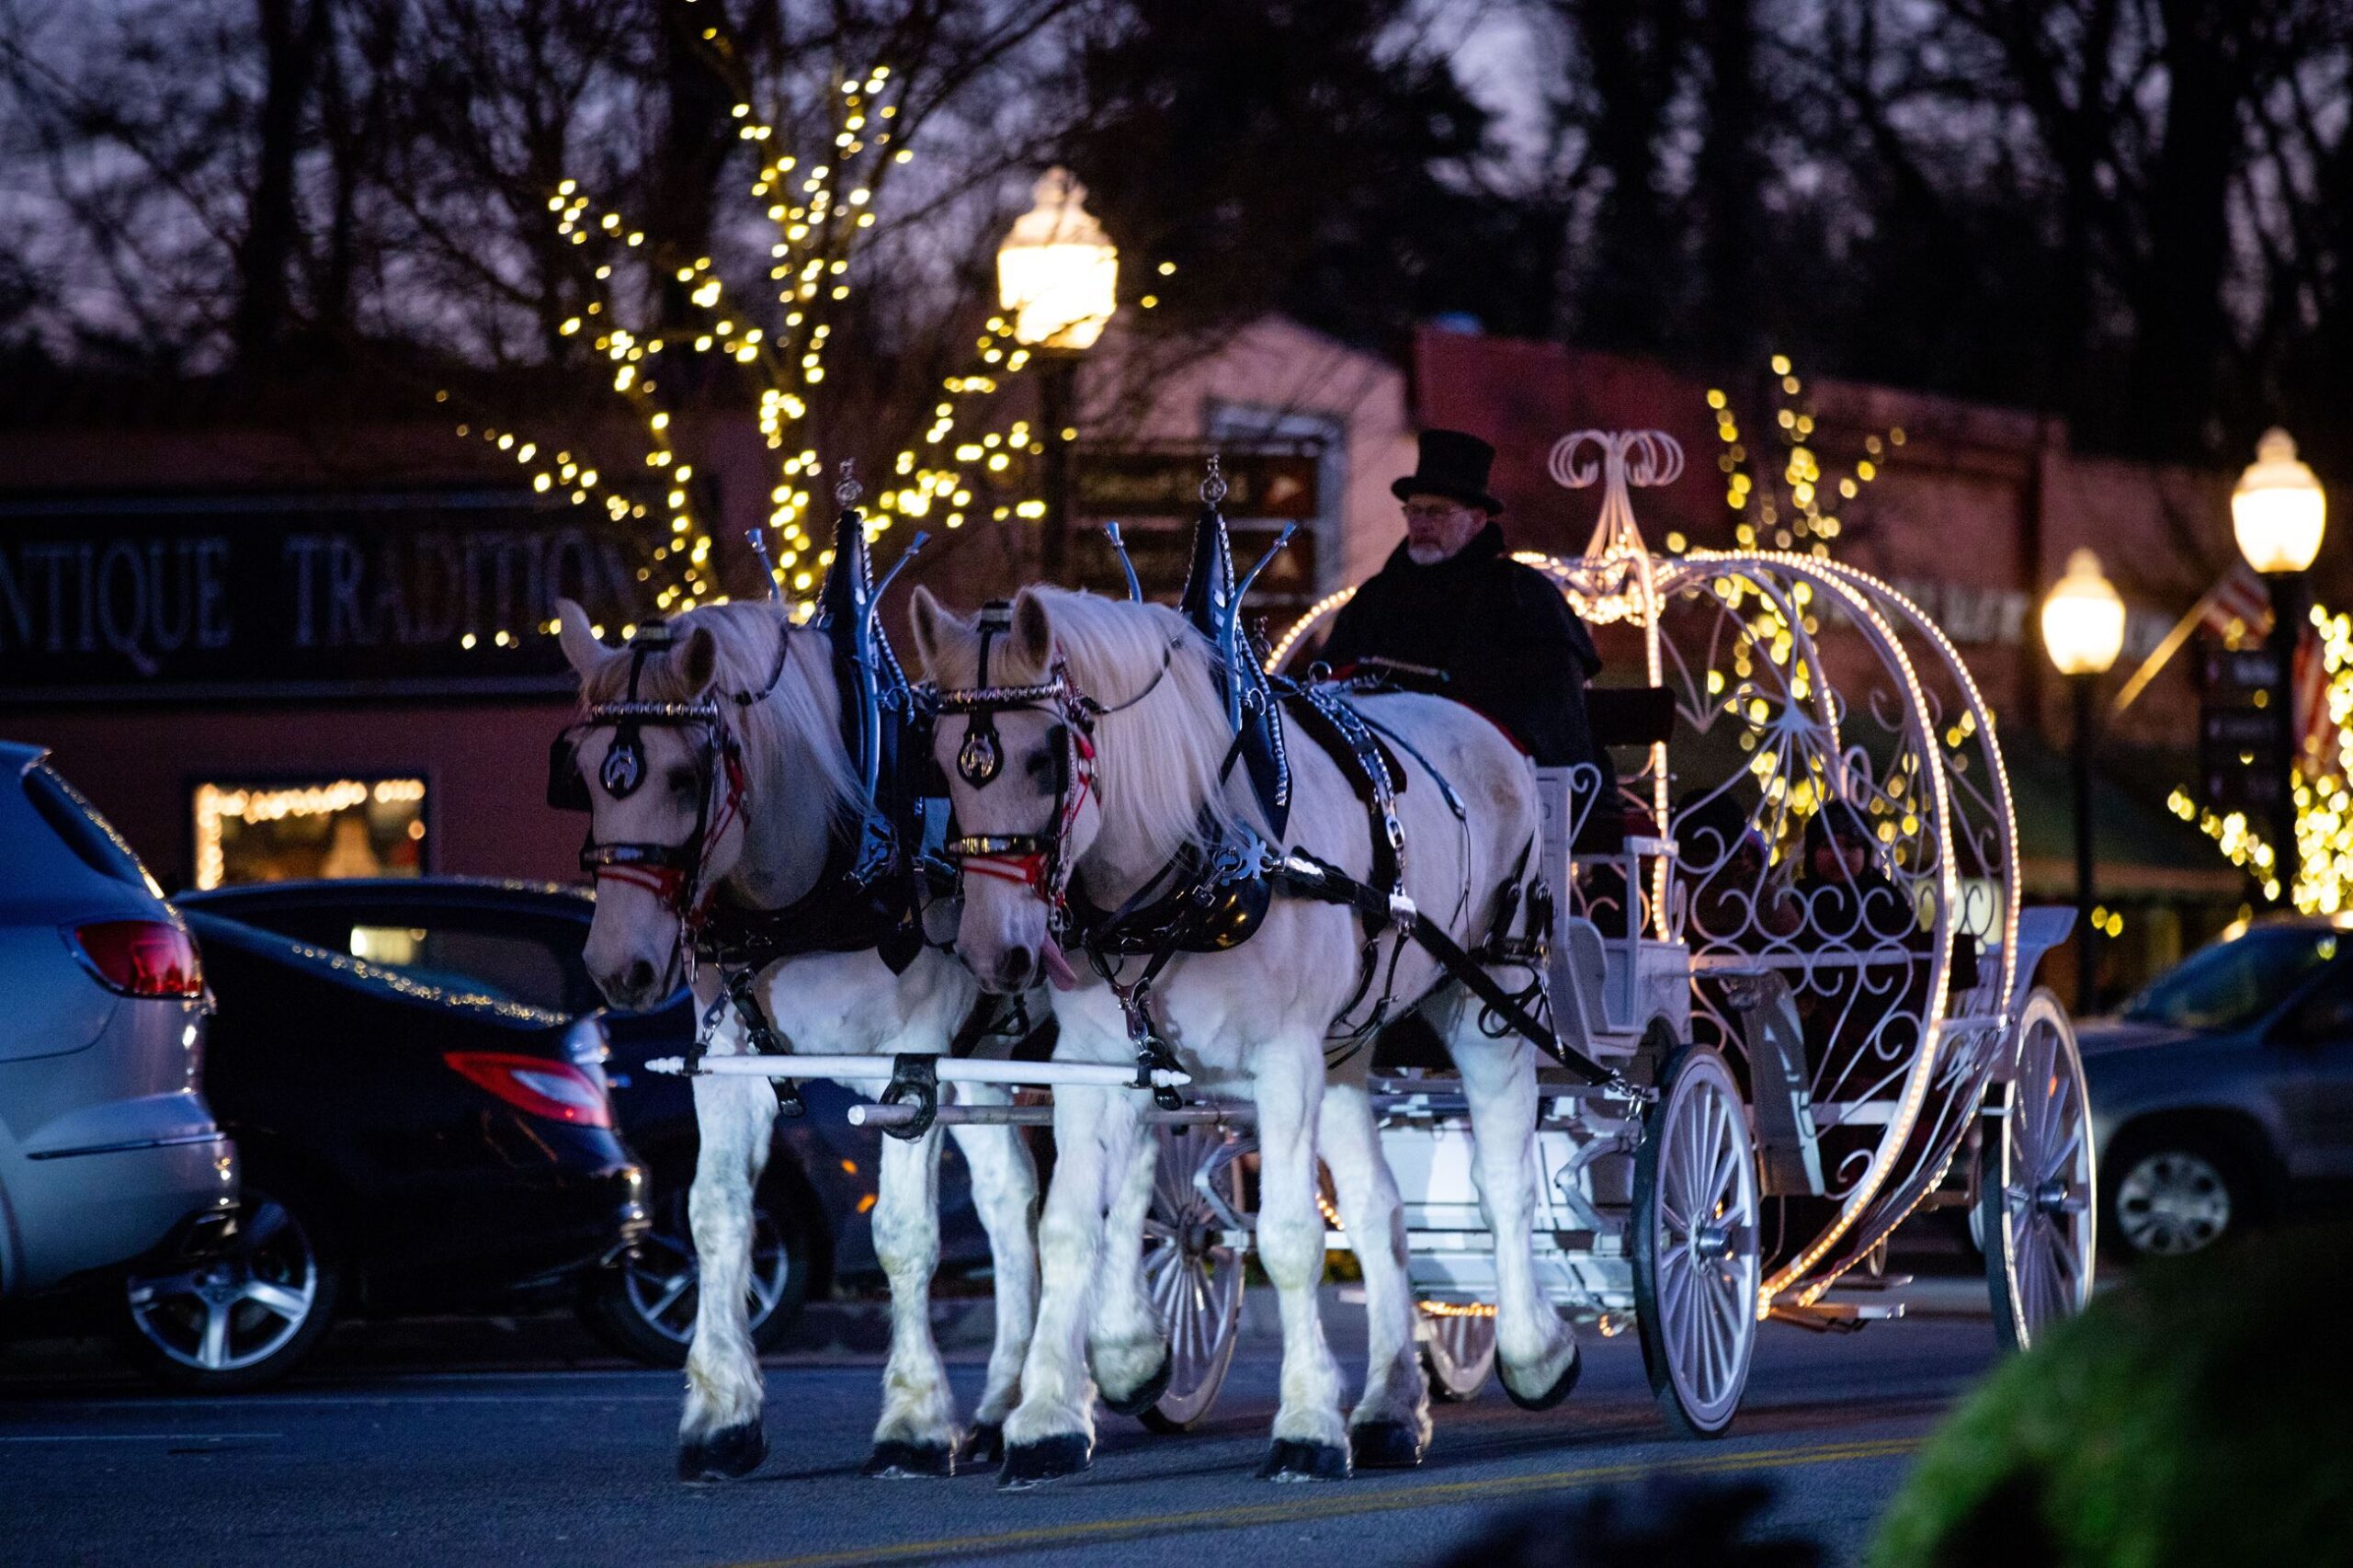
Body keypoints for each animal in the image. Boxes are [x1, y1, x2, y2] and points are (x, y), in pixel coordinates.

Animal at [551, 596, 1040, 1478]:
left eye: (684, 776)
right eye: (585, 772)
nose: (618, 966)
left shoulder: (912, 1069)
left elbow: (902, 1234)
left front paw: (912, 1423)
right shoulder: (730, 1066)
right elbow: (714, 1214)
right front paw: (722, 1417)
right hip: (987, 1059)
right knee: (1009, 1197)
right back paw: (1003, 1406)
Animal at [904, 584, 1581, 1478]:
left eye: (1045, 758)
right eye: (944, 761)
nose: (992, 951)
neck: (1194, 869)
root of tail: (1476, 720)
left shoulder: (1285, 1061)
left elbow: (1290, 1235)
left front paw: (1307, 1426)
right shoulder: (1097, 1065)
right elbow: (1069, 1226)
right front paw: (1047, 1418)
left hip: (1490, 1003)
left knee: (1503, 1178)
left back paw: (1535, 1353)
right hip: (1347, 1048)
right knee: (1379, 1211)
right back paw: (1392, 1407)